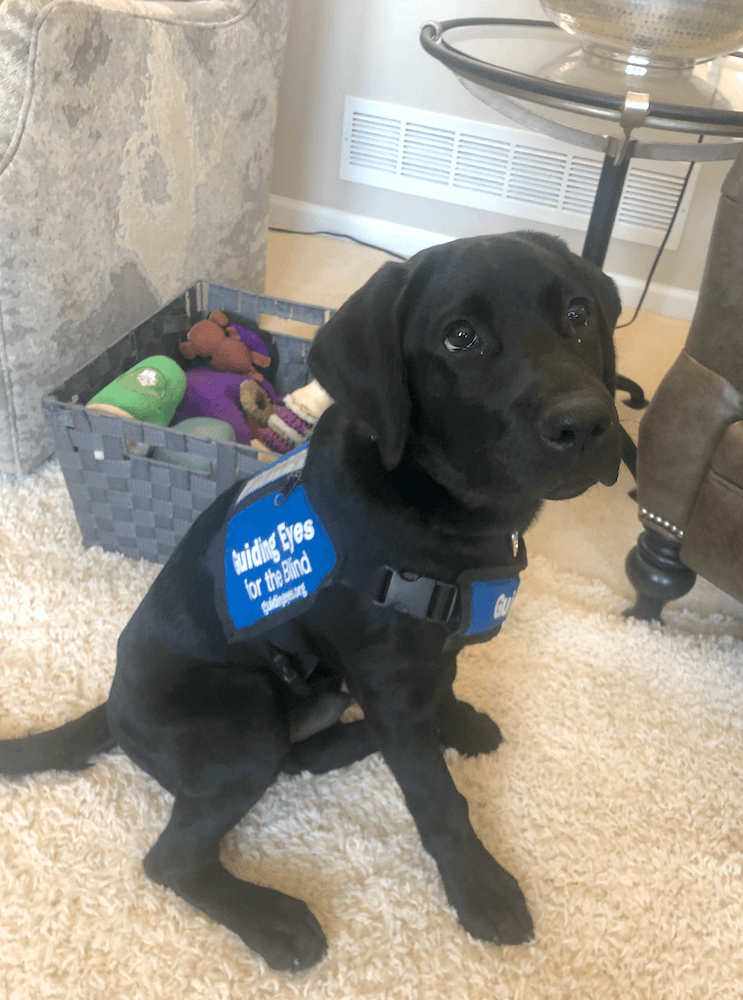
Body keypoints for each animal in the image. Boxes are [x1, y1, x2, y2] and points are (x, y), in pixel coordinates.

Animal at [0, 232, 624, 968]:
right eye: (459, 337)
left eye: (579, 314)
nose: (586, 423)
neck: (447, 514)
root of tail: (112, 706)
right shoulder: (389, 677)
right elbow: (438, 800)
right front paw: (481, 888)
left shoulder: (427, 655)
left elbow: (441, 691)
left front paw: (456, 722)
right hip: (245, 717)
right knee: (175, 857)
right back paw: (275, 920)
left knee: (301, 760)